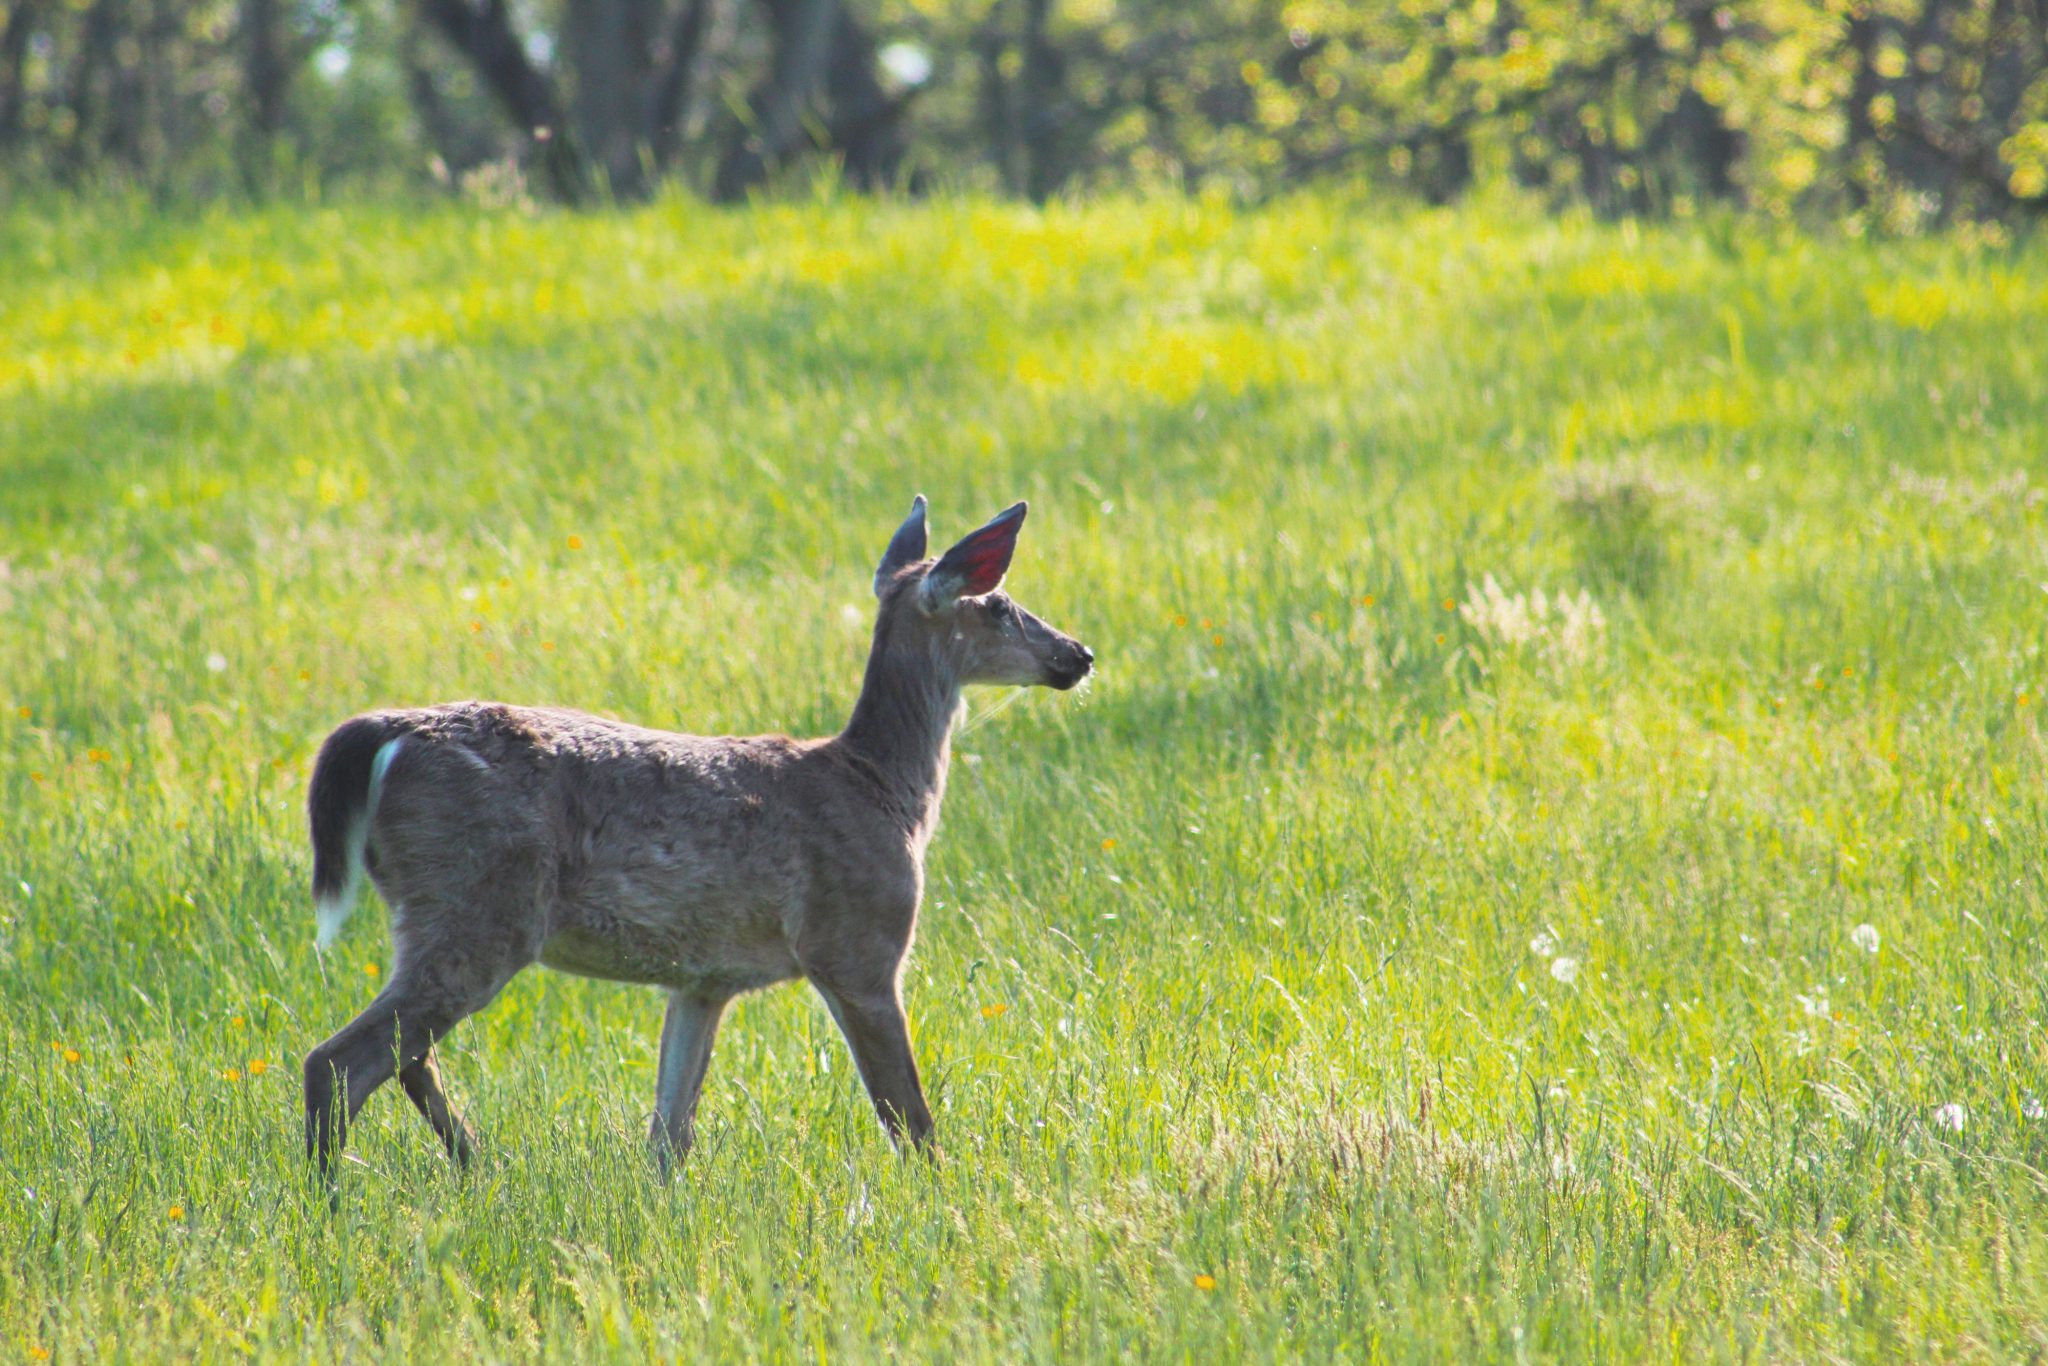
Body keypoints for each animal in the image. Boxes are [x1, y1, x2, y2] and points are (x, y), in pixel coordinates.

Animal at [300, 496, 1093, 1178]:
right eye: (1000, 603)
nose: (1079, 653)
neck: (884, 792)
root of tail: (386, 734)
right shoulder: (859, 945)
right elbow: (909, 1117)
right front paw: (944, 1195)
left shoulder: (703, 980)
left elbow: (670, 1132)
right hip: (479, 903)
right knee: (338, 1062)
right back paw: (333, 1201)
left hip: (436, 910)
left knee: (405, 1057)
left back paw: (477, 1166)